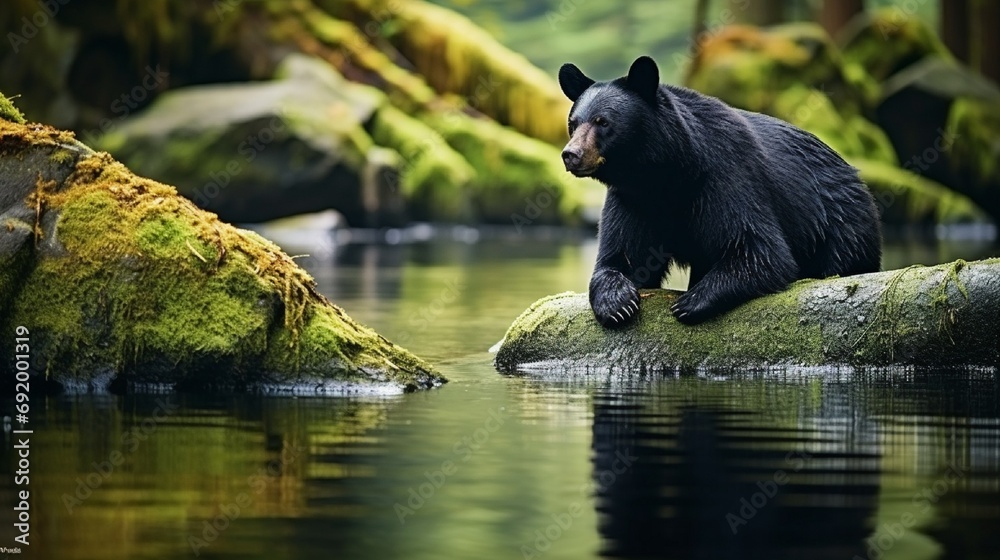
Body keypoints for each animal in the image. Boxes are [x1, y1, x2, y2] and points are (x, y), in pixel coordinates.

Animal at [557, 56, 882, 327]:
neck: (664, 174)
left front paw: (690, 303)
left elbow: (760, 251)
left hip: (840, 223)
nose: (570, 155)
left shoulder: (727, 175)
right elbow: (621, 255)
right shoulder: (633, 198)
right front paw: (618, 303)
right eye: (573, 123)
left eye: (602, 121)